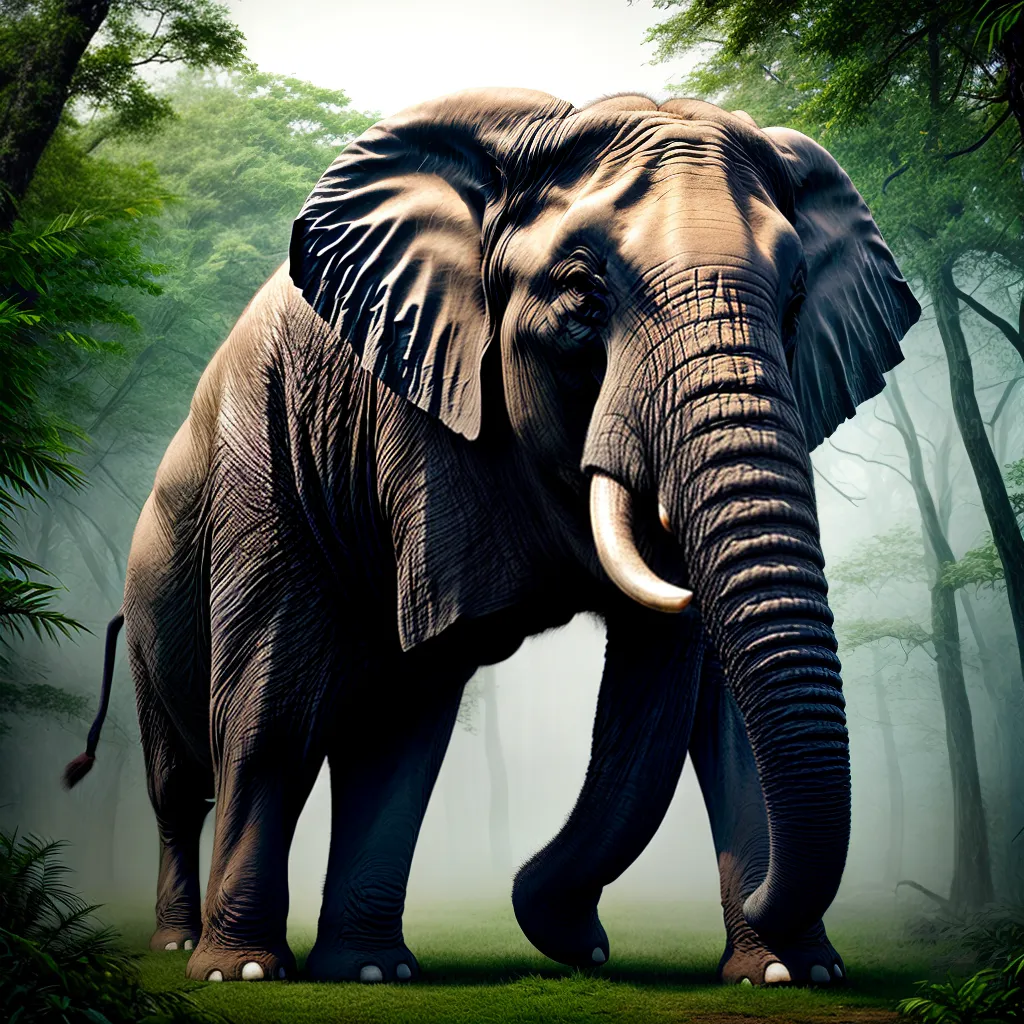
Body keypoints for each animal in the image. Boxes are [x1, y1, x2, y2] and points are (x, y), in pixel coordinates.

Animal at [63, 88, 920, 987]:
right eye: (581, 294)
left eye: (795, 301)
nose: (590, 944)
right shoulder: (304, 439)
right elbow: (272, 708)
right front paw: (245, 976)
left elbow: (720, 714)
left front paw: (794, 973)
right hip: (152, 607)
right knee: (182, 780)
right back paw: (183, 946)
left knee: (391, 722)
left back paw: (365, 969)